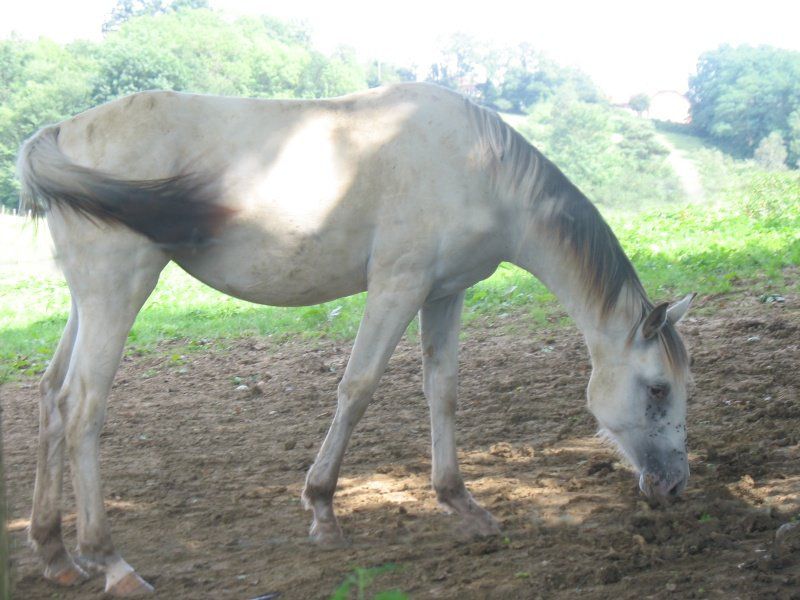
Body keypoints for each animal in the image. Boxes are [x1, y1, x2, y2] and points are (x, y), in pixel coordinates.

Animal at [17, 82, 695, 596]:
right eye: (657, 388)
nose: (674, 486)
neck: (476, 167)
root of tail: (62, 131)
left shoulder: (444, 294)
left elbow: (443, 392)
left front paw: (460, 503)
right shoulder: (397, 286)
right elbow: (358, 387)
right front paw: (322, 509)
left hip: (86, 303)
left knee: (51, 397)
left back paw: (55, 553)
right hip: (118, 292)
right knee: (82, 407)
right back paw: (110, 561)